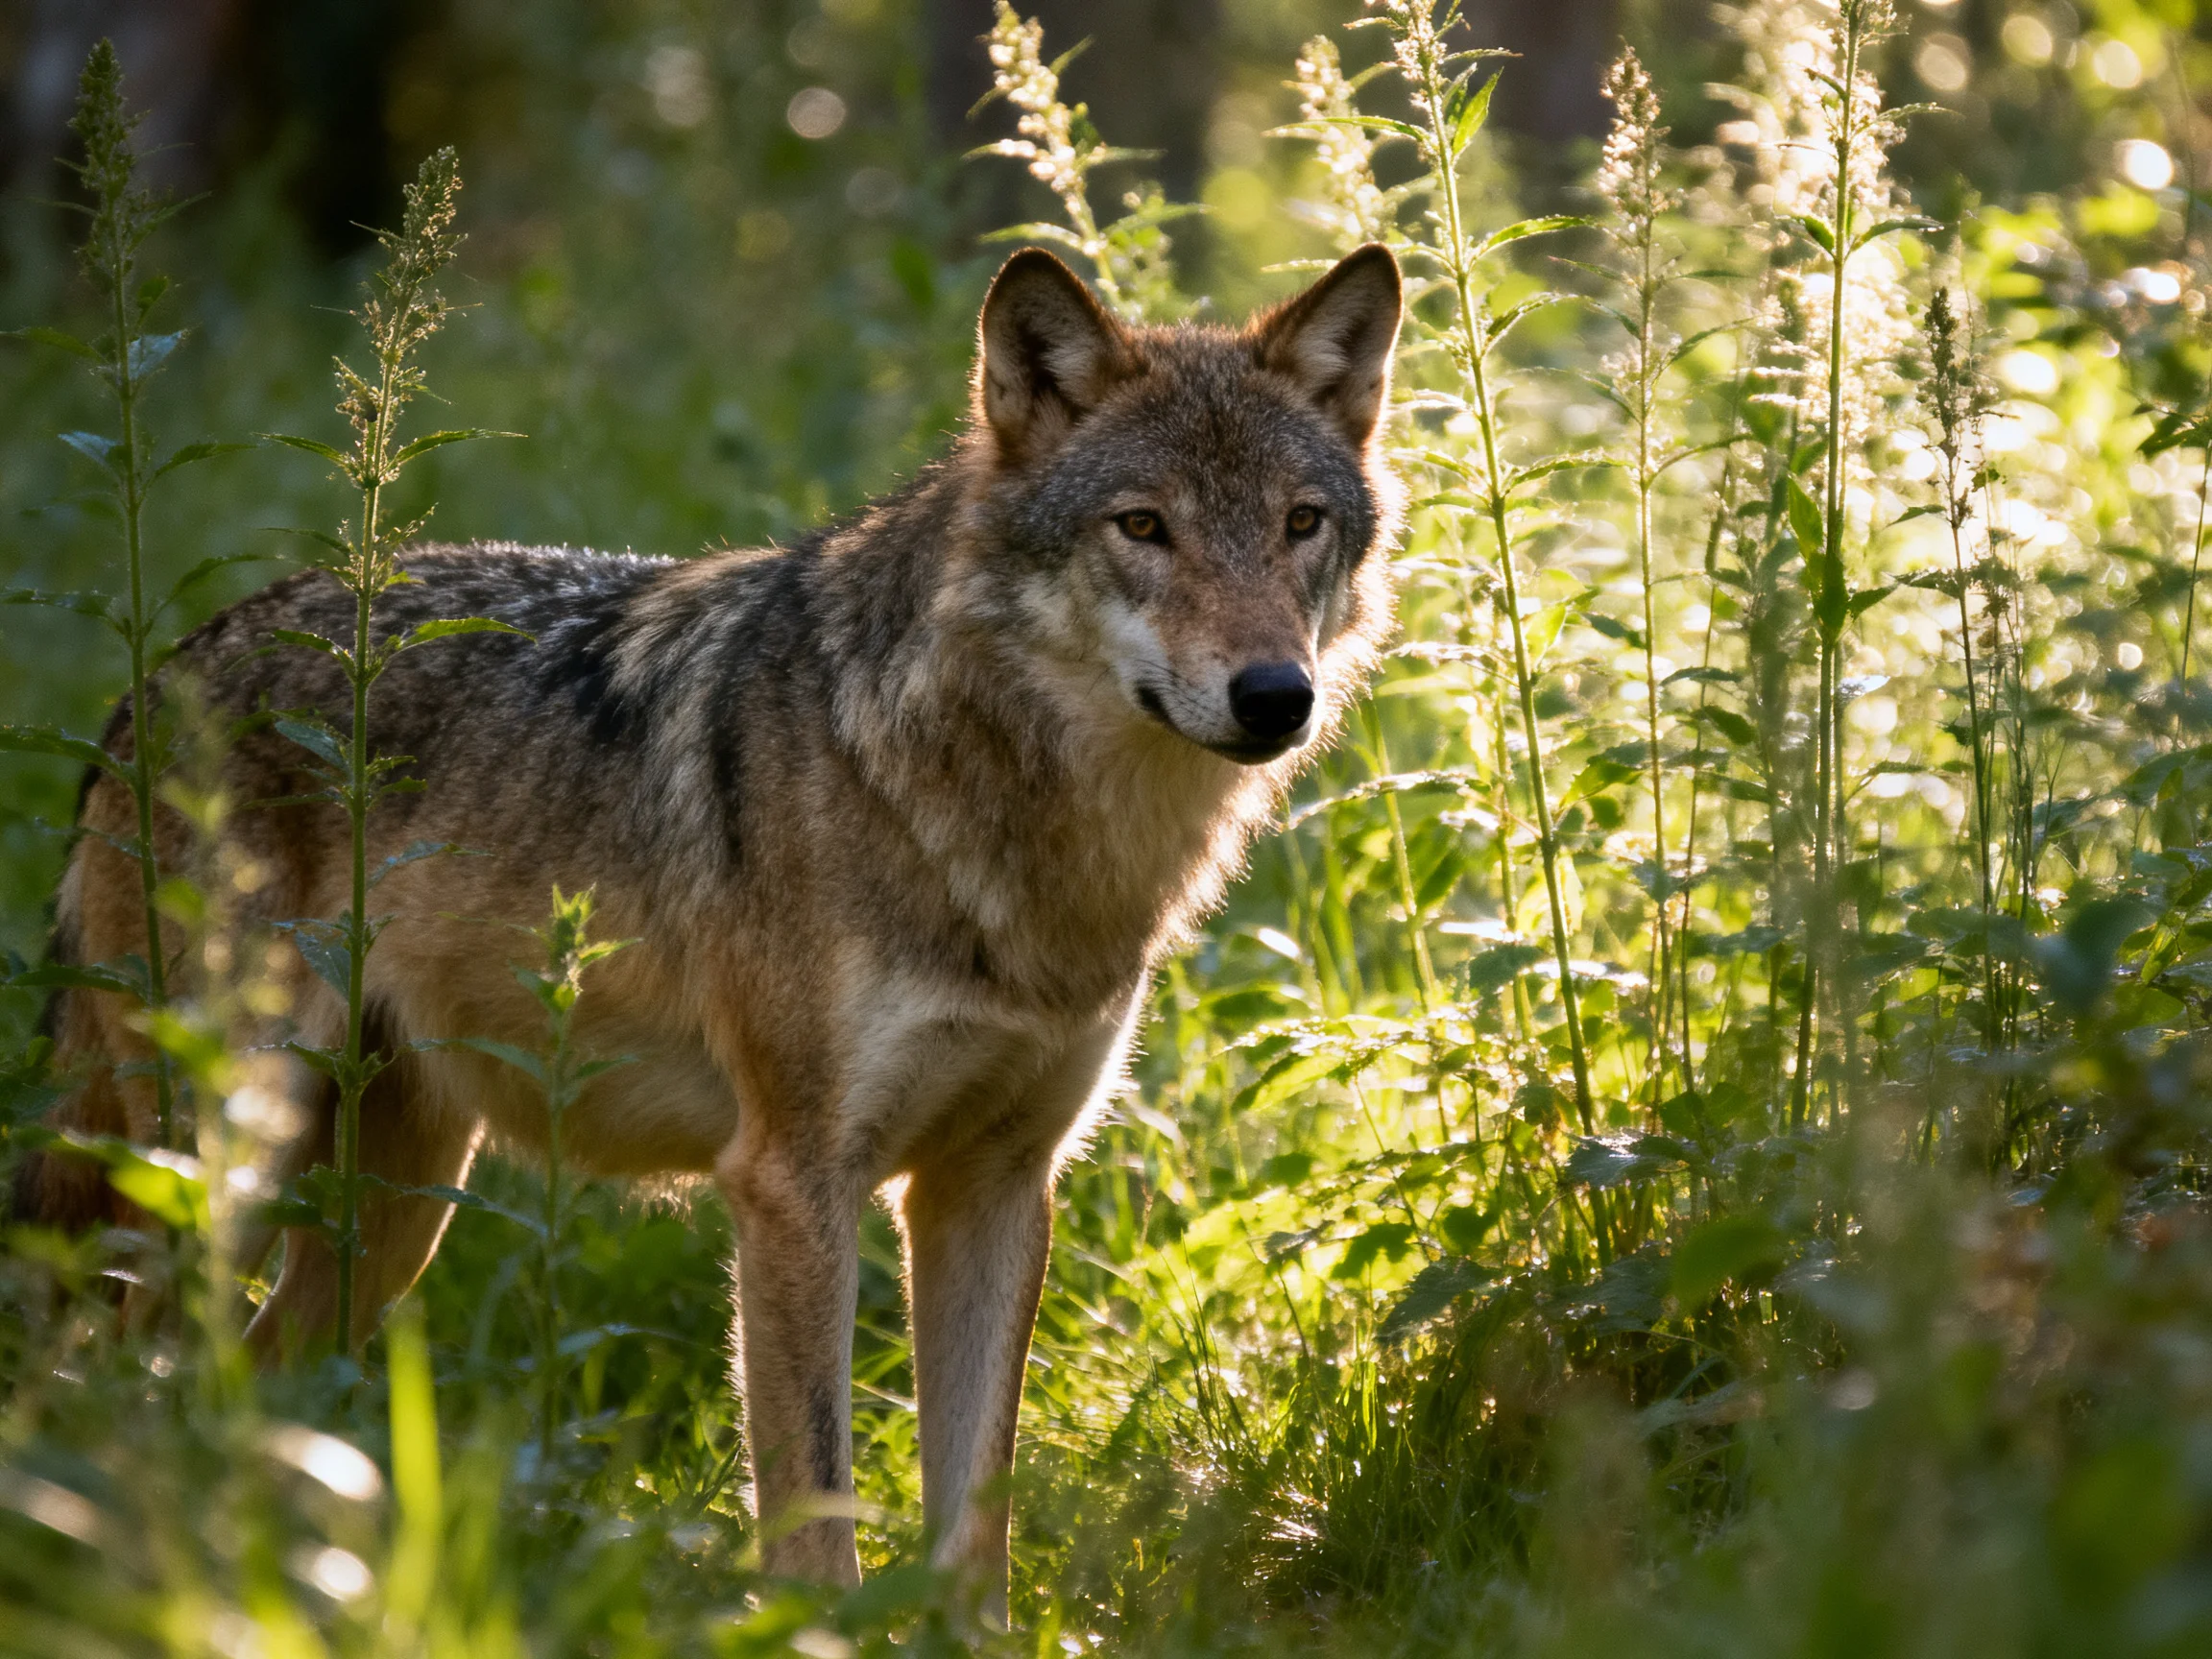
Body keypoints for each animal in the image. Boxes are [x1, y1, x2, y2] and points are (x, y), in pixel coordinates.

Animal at [17, 242, 1403, 1614]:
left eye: (1300, 523)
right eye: (1144, 526)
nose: (1275, 696)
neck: (1014, 837)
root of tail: (149, 682)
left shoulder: (996, 1188)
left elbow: (974, 1539)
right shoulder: (792, 1185)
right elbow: (817, 1524)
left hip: (395, 1208)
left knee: (240, 1382)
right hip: (221, 1162)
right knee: (113, 1383)